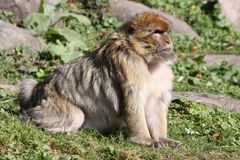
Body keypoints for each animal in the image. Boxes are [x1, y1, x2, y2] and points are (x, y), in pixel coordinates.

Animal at [18, 11, 182, 148]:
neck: (145, 59)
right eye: (157, 33)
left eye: (165, 32)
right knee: (75, 116)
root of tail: (38, 89)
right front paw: (145, 140)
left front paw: (163, 139)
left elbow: (156, 104)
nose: (169, 41)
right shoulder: (129, 65)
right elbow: (133, 105)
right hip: (51, 102)